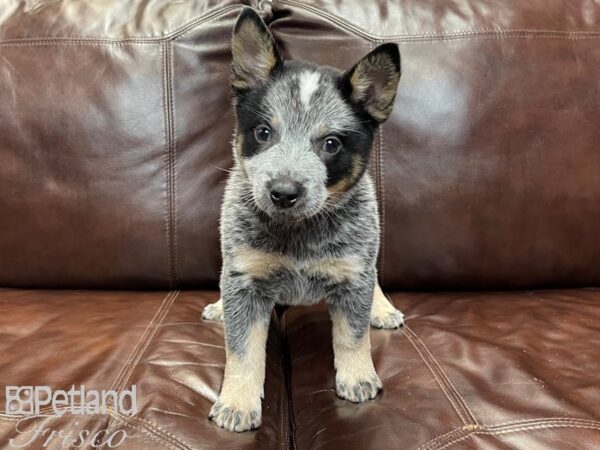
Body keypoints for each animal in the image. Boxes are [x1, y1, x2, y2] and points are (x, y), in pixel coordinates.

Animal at [202, 7, 404, 432]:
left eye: (331, 143)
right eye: (264, 132)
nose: (283, 192)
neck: (299, 235)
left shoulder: (352, 275)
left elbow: (352, 335)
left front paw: (358, 376)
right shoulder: (245, 279)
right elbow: (242, 349)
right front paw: (237, 402)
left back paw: (381, 307)